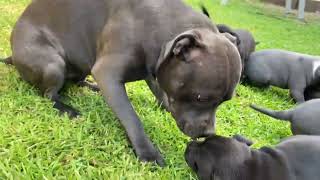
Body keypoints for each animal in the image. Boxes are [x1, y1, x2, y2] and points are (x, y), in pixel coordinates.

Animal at [2, 0, 241, 166]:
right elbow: (132, 118)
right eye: (201, 97)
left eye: (225, 101)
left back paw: (90, 87)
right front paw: (147, 153)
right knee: (49, 94)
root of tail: (12, 55)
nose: (209, 133)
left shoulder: (153, 67)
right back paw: (65, 108)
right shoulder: (108, 73)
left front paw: (164, 105)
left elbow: (160, 89)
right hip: (52, 64)